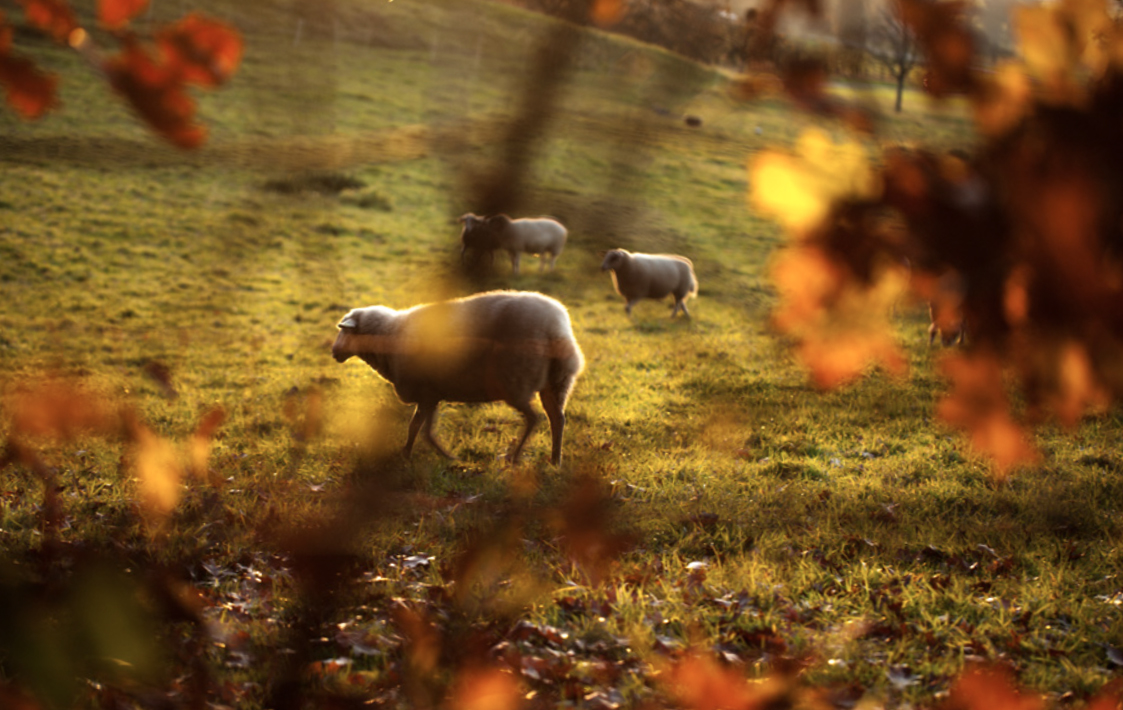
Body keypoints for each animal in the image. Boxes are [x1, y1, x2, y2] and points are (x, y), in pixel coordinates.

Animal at [330, 287, 579, 465]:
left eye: (344, 331)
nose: (333, 352)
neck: (390, 333)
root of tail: (556, 327)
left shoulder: (426, 392)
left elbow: (418, 428)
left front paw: (415, 455)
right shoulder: (432, 394)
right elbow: (423, 430)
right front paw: (430, 455)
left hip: (516, 381)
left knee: (534, 418)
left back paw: (514, 457)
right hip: (557, 383)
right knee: (557, 419)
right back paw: (555, 460)